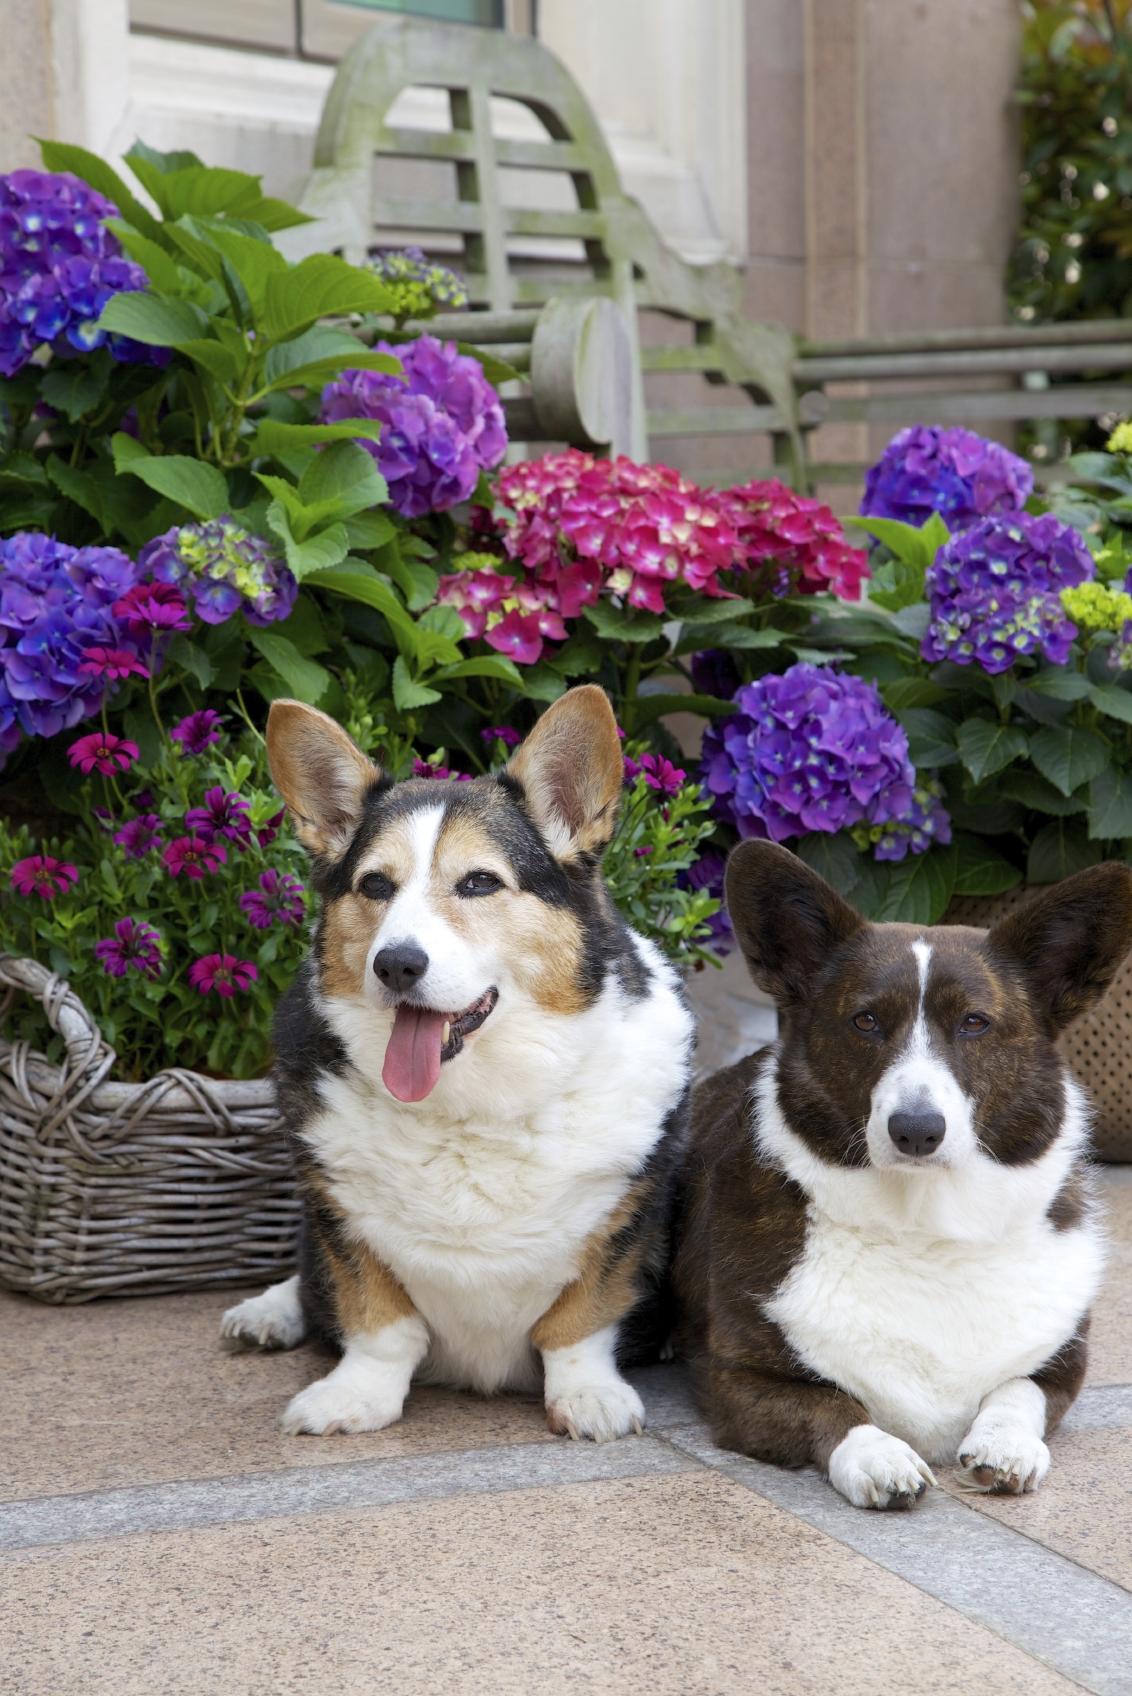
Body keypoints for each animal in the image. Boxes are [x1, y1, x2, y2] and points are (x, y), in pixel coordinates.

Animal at [221, 685, 693, 1441]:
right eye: (374, 886)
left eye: (477, 883)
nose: (396, 963)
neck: (470, 1109)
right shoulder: (339, 1215)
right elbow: (377, 1320)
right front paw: (353, 1397)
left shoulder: (624, 1215)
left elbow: (581, 1319)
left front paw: (589, 1397)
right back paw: (266, 1312)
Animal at [675, 839, 1132, 1509]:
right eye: (866, 1021)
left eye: (974, 1022)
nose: (916, 1129)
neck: (925, 1224)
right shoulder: (740, 1380)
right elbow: (834, 1404)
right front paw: (880, 1456)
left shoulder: (1062, 1367)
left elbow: (1017, 1390)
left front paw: (1006, 1447)